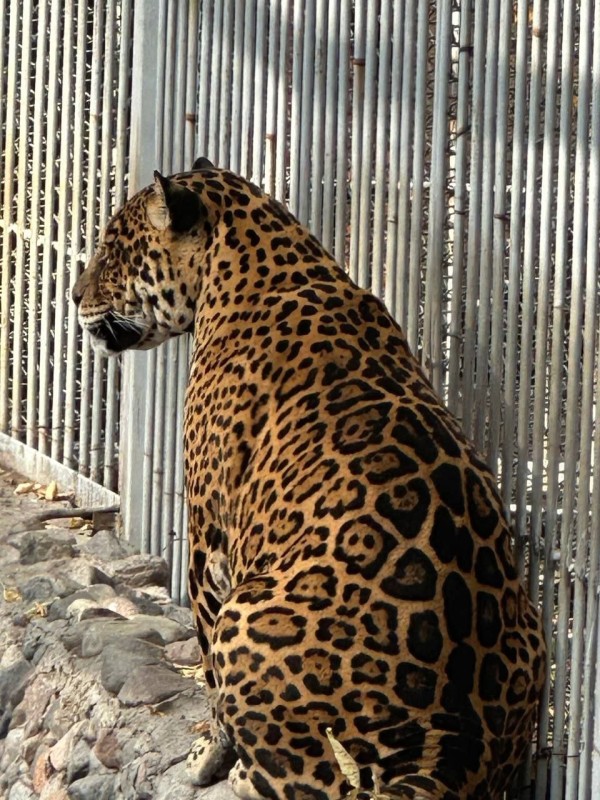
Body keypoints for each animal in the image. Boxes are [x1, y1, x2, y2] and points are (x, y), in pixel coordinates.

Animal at [73, 158, 546, 800]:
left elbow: (207, 666)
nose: (75, 295)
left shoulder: (207, 533)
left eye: (113, 251)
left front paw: (203, 753)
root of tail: (442, 753)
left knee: (318, 781)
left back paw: (244, 774)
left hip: (247, 614)